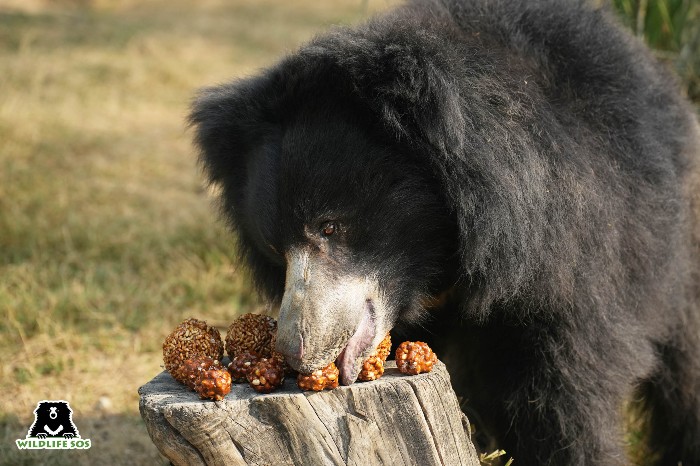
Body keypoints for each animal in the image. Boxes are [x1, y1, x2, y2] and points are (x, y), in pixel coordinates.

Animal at [189, 0, 696, 466]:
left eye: (329, 226)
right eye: (278, 251)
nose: (295, 351)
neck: (437, 260)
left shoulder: (576, 254)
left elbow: (569, 389)